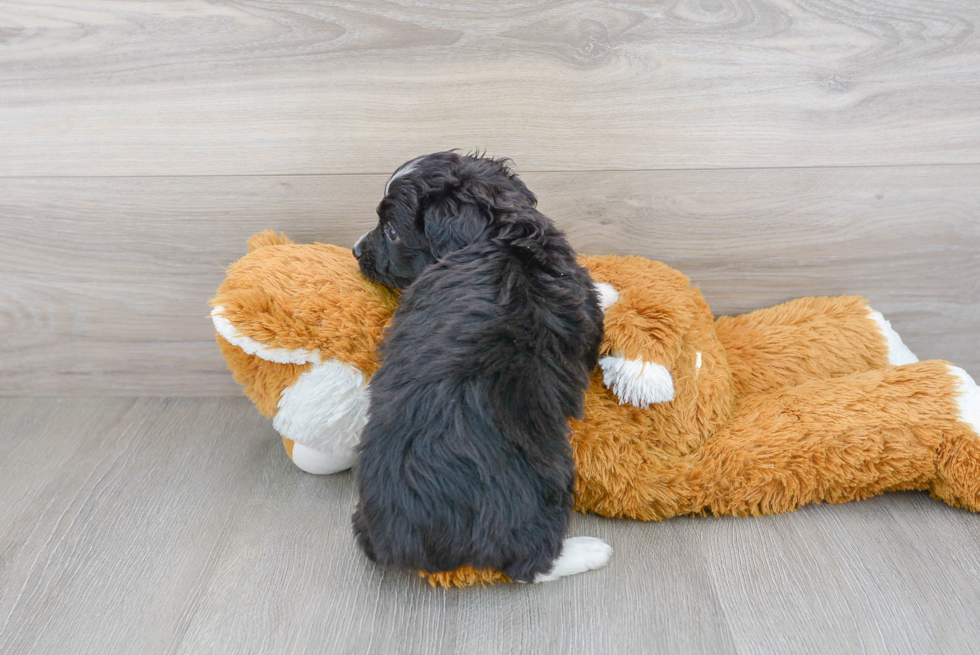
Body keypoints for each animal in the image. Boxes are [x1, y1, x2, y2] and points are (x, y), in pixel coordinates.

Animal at [352, 151, 612, 580]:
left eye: (390, 231)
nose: (356, 250)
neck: (500, 233)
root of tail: (401, 540)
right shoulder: (584, 309)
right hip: (547, 477)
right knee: (527, 561)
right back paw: (588, 551)